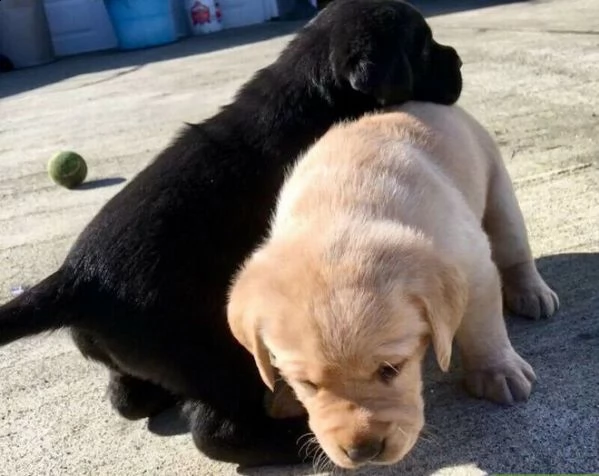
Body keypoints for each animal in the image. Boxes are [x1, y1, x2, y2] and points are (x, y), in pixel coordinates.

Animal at [0, 0, 464, 468]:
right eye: (424, 45)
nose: (459, 61)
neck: (309, 92)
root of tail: (76, 278)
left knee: (125, 398)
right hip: (213, 355)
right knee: (214, 431)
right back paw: (290, 438)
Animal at [227, 101, 560, 468]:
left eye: (391, 369)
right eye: (308, 383)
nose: (363, 451)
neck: (342, 209)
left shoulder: (474, 266)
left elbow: (483, 328)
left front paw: (497, 372)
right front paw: (285, 394)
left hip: (499, 190)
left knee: (515, 249)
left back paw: (532, 292)